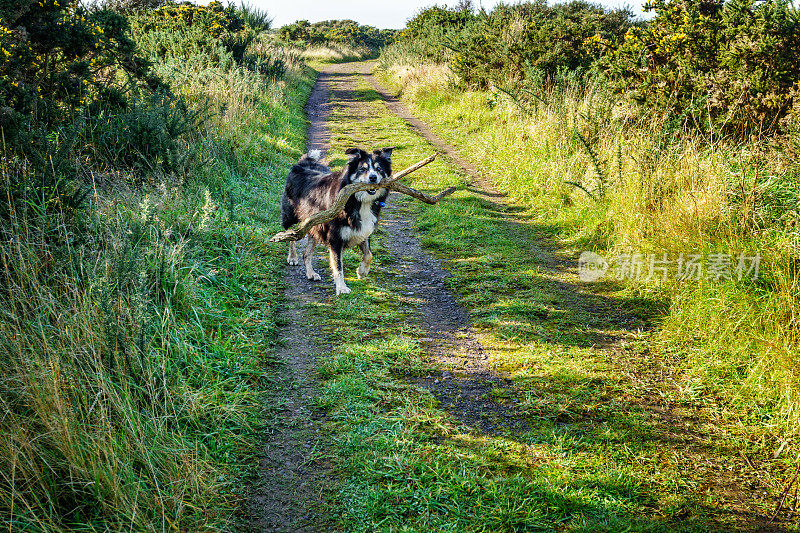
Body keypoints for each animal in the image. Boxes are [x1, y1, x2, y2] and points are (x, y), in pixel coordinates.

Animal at [282, 148, 394, 294]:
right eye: (362, 169)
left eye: (379, 169)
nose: (373, 177)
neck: (358, 201)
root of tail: (302, 165)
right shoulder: (335, 238)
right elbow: (338, 265)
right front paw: (341, 287)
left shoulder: (364, 230)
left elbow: (369, 254)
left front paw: (362, 271)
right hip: (292, 217)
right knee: (291, 236)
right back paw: (292, 257)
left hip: (314, 226)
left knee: (306, 254)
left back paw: (311, 273)